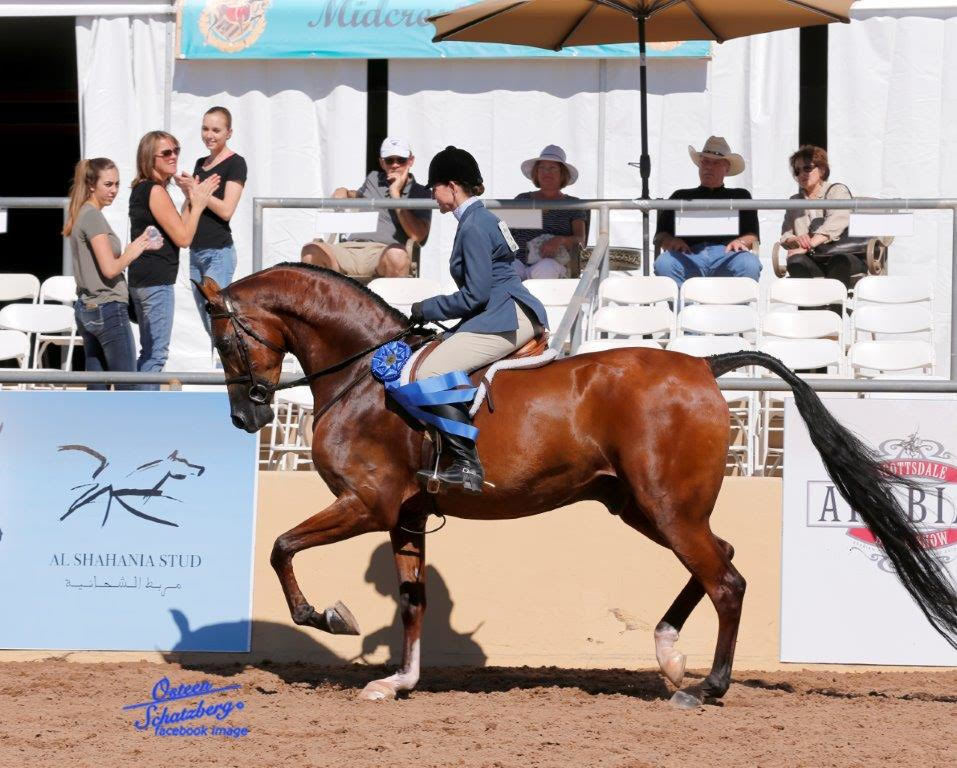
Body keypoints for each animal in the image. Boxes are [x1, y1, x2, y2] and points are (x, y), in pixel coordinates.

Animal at [197, 263, 957, 708]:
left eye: (225, 340)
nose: (244, 417)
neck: (363, 373)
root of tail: (704, 366)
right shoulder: (405, 513)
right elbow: (412, 601)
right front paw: (398, 681)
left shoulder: (366, 503)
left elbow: (281, 547)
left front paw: (329, 617)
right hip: (642, 505)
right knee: (722, 559)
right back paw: (669, 656)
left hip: (665, 506)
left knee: (726, 580)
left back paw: (705, 687)